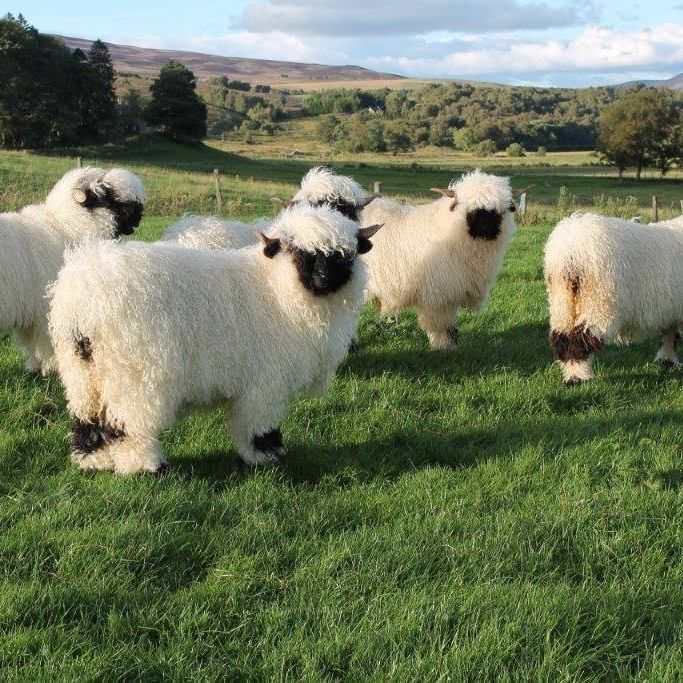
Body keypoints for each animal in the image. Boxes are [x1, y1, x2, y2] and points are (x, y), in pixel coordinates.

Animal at [0, 167, 145, 374]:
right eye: (107, 196)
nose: (139, 216)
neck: (67, 226)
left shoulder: (30, 315)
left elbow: (32, 345)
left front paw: (34, 369)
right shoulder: (46, 310)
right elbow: (44, 344)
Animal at [48, 204, 382, 475]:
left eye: (343, 255)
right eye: (299, 253)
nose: (323, 279)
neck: (276, 289)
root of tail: (83, 296)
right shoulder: (265, 382)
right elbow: (258, 424)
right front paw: (265, 456)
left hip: (82, 376)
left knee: (88, 421)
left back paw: (94, 461)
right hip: (135, 375)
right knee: (130, 424)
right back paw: (147, 467)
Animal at [359, 169, 517, 349]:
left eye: (499, 210)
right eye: (468, 207)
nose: (485, 227)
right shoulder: (438, 295)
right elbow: (442, 327)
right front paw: (444, 347)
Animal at [544, 212, 683, 385]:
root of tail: (569, 253)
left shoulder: (671, 308)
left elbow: (669, 334)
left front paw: (667, 359)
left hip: (562, 304)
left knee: (563, 338)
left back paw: (572, 375)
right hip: (598, 302)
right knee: (581, 339)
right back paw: (580, 376)